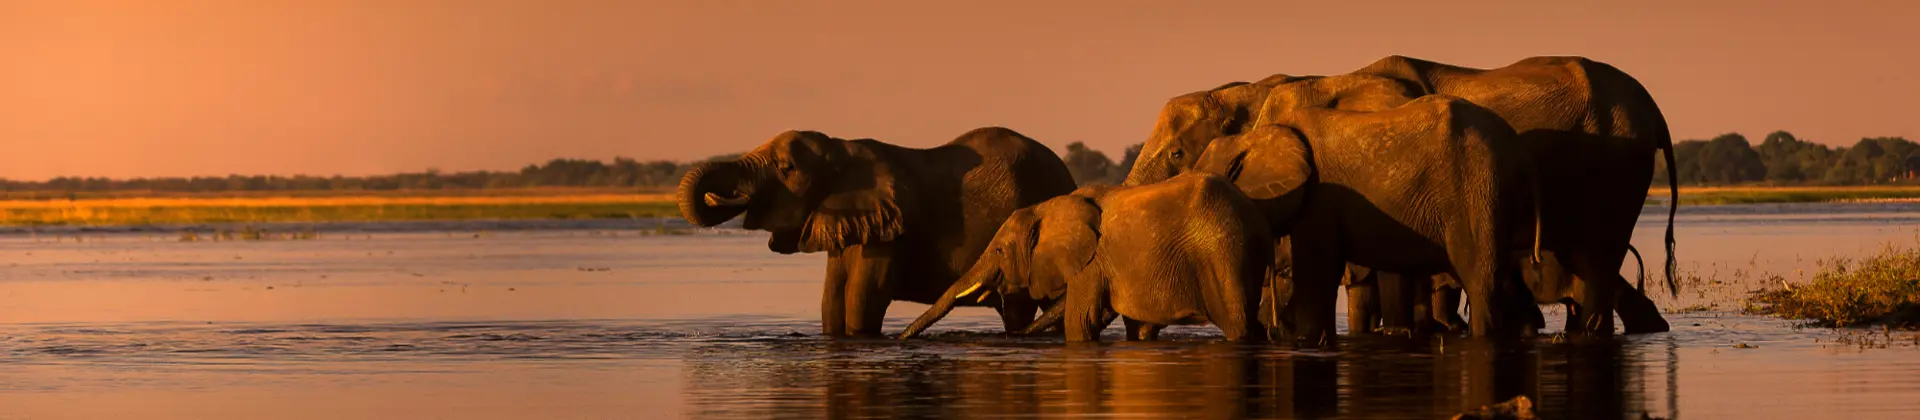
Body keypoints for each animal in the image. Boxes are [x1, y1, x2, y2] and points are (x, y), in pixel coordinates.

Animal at [898, 172, 1275, 342]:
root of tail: (1256, 217)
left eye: (999, 250)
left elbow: (1081, 320)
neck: (1049, 206)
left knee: (1239, 324)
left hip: (1224, 254)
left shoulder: (1090, 264)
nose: (901, 339)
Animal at [1190, 94, 1539, 343]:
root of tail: (1519, 148)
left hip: (1479, 187)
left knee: (1480, 280)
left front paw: (1306, 342)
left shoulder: (1319, 197)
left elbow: (1316, 271)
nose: (1270, 334)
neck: (1256, 136)